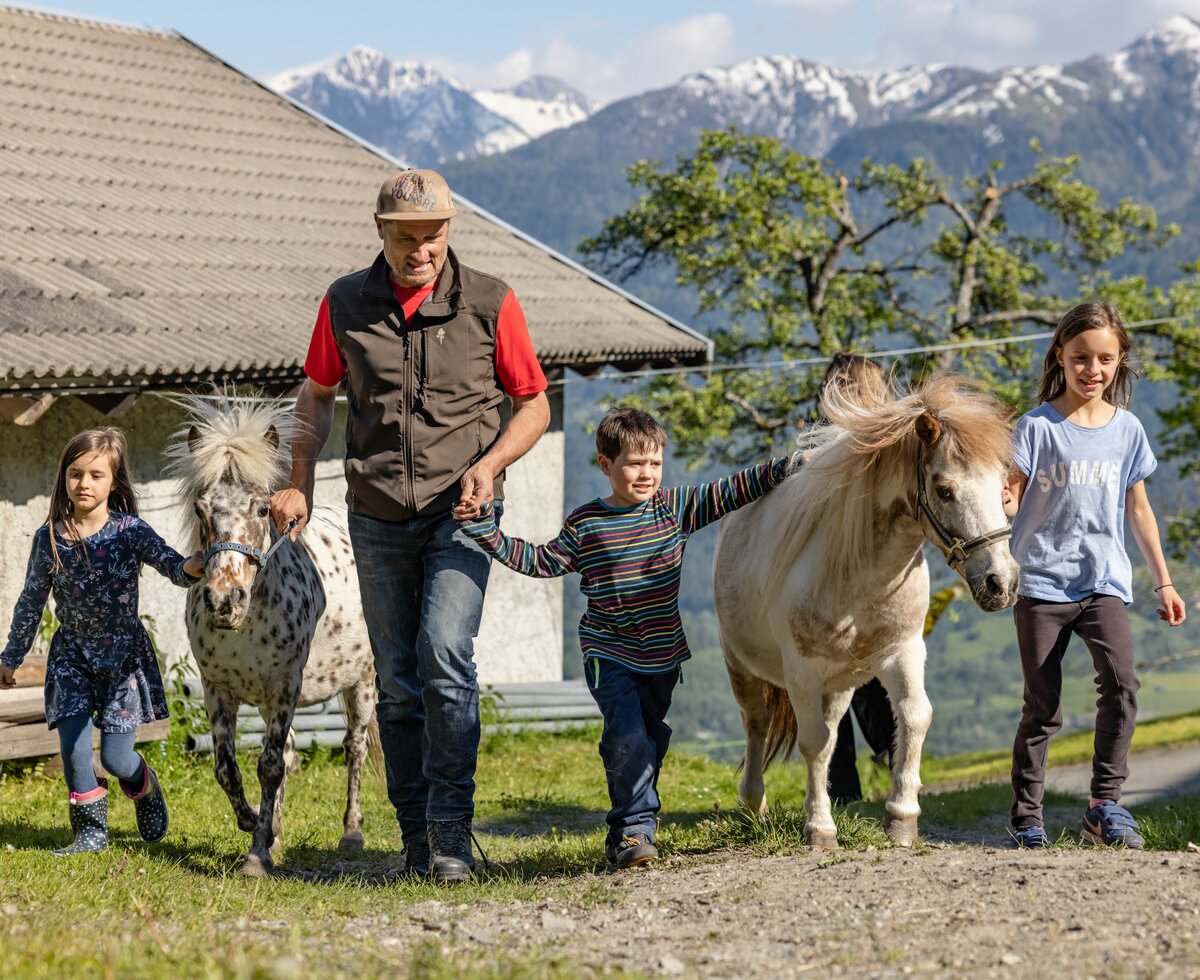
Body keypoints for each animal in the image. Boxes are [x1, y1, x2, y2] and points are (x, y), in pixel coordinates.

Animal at [164, 393, 376, 873]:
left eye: (262, 509)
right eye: (201, 509)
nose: (225, 600)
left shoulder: (285, 688)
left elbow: (270, 766)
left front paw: (257, 856)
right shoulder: (217, 691)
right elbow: (228, 769)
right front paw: (256, 825)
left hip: (362, 682)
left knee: (354, 748)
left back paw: (350, 834)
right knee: (292, 750)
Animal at [710, 374, 1022, 849]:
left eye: (1003, 485)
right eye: (945, 490)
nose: (1000, 583)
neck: (860, 573)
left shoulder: (903, 652)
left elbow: (913, 718)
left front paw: (901, 818)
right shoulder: (801, 668)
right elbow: (813, 742)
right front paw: (820, 828)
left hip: (839, 684)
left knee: (830, 730)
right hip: (741, 665)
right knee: (757, 723)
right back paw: (752, 803)